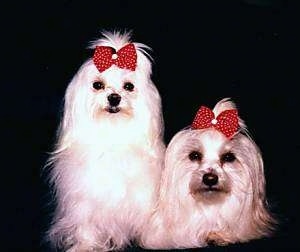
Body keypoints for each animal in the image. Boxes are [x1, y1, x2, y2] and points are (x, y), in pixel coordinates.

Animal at [45, 30, 165, 251]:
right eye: (97, 85)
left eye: (129, 86)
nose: (114, 98)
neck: (112, 138)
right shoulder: (84, 201)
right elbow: (86, 226)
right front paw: (85, 245)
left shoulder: (143, 198)